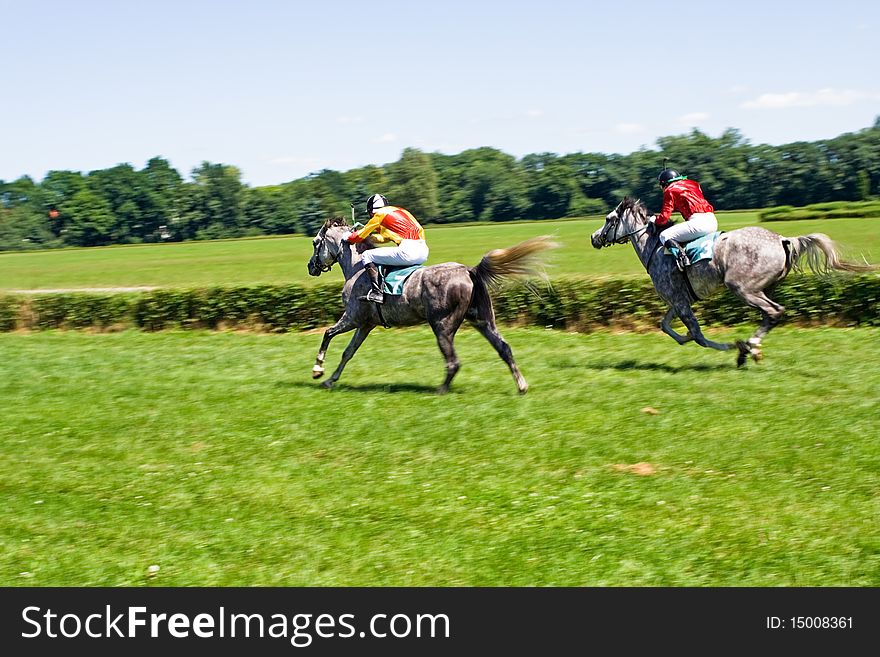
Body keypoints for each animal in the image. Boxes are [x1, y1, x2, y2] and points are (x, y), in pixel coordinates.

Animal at [306, 215, 552, 392]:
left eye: (315, 243)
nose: (311, 267)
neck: (357, 268)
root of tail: (468, 271)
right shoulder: (366, 324)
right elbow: (348, 352)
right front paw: (330, 380)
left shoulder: (353, 317)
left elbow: (328, 333)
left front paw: (318, 369)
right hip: (482, 320)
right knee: (504, 348)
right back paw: (522, 386)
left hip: (442, 325)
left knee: (453, 361)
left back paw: (441, 389)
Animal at [592, 197, 872, 366]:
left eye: (609, 219)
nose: (594, 238)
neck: (655, 247)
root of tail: (782, 239)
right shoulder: (679, 300)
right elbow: (666, 326)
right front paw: (685, 337)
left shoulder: (680, 302)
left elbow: (698, 336)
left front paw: (733, 345)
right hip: (760, 288)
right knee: (771, 313)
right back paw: (752, 347)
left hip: (742, 288)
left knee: (774, 311)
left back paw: (749, 348)